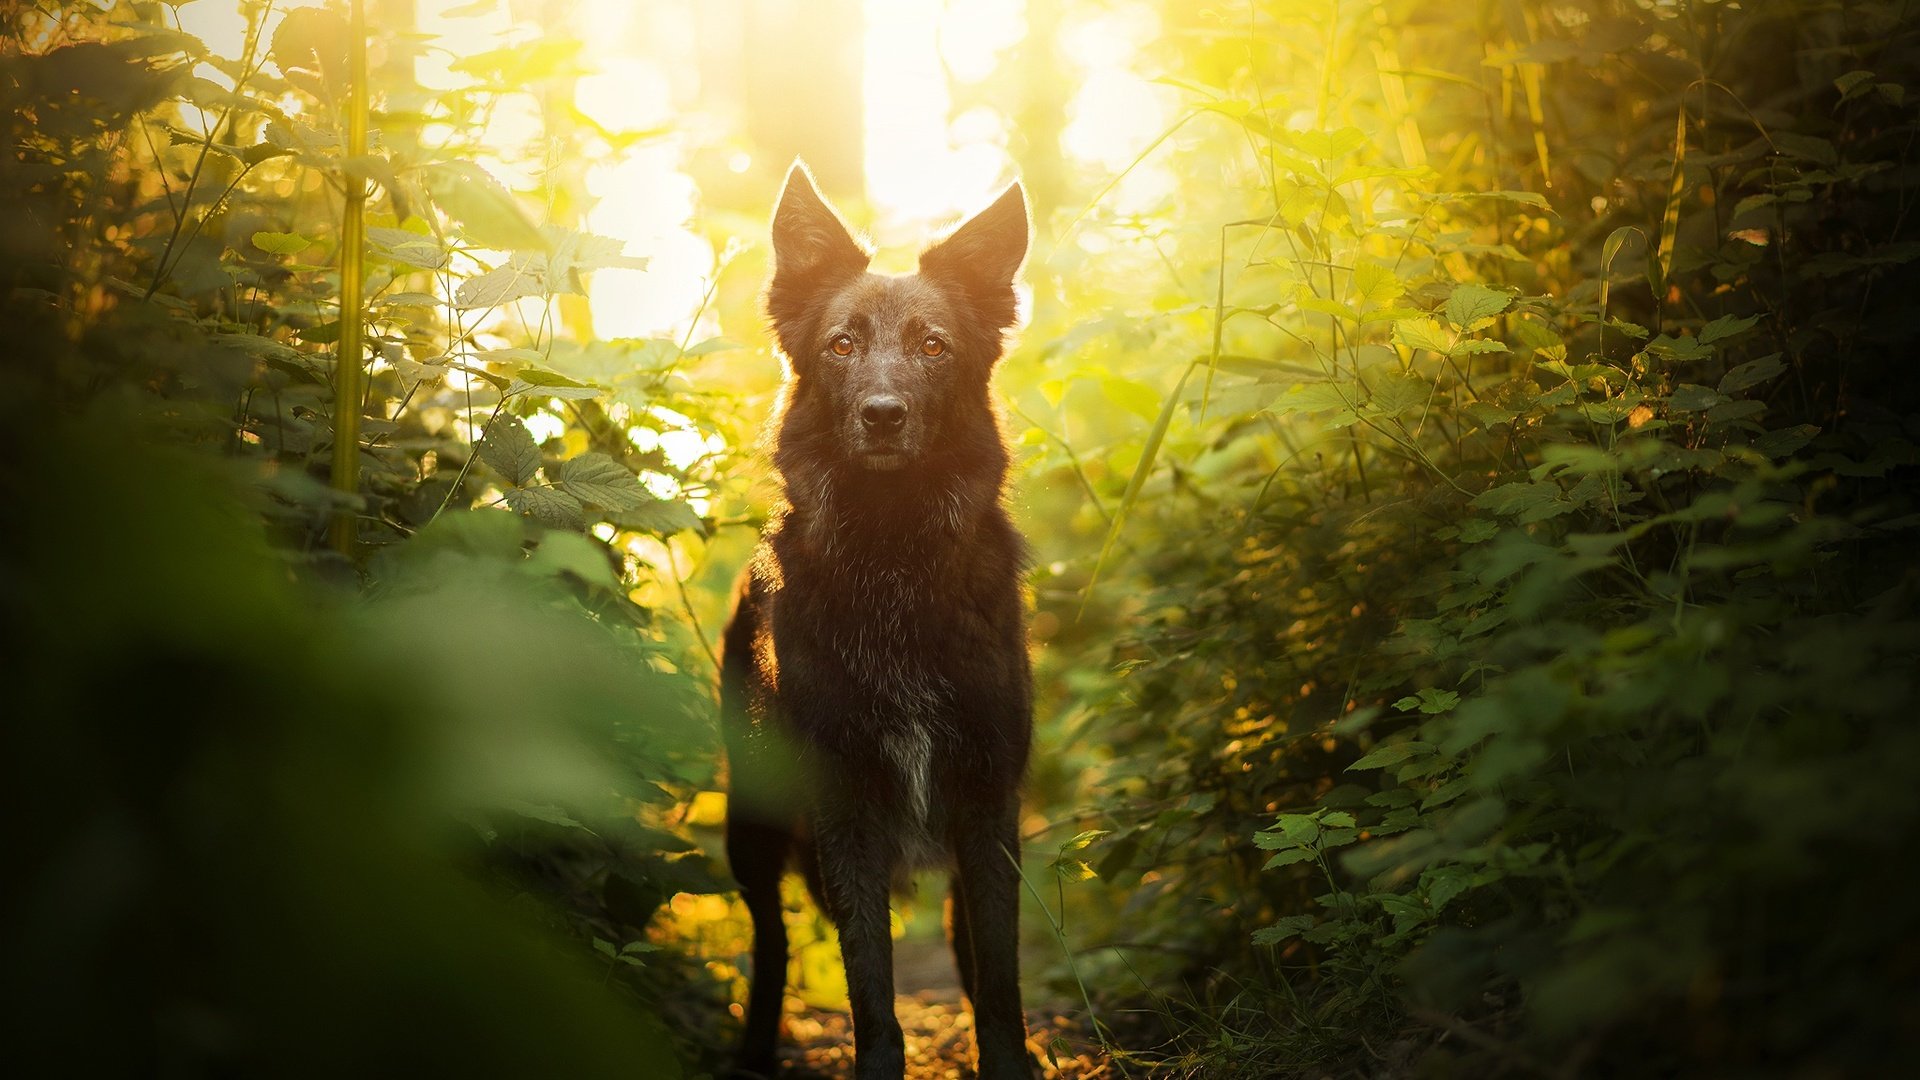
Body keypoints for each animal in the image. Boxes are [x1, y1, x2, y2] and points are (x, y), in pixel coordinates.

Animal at [721, 161, 1036, 1076]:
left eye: (934, 346)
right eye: (842, 345)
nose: (885, 414)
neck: (894, 559)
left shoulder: (988, 801)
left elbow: (999, 978)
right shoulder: (845, 810)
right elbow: (872, 996)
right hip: (751, 827)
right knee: (771, 942)